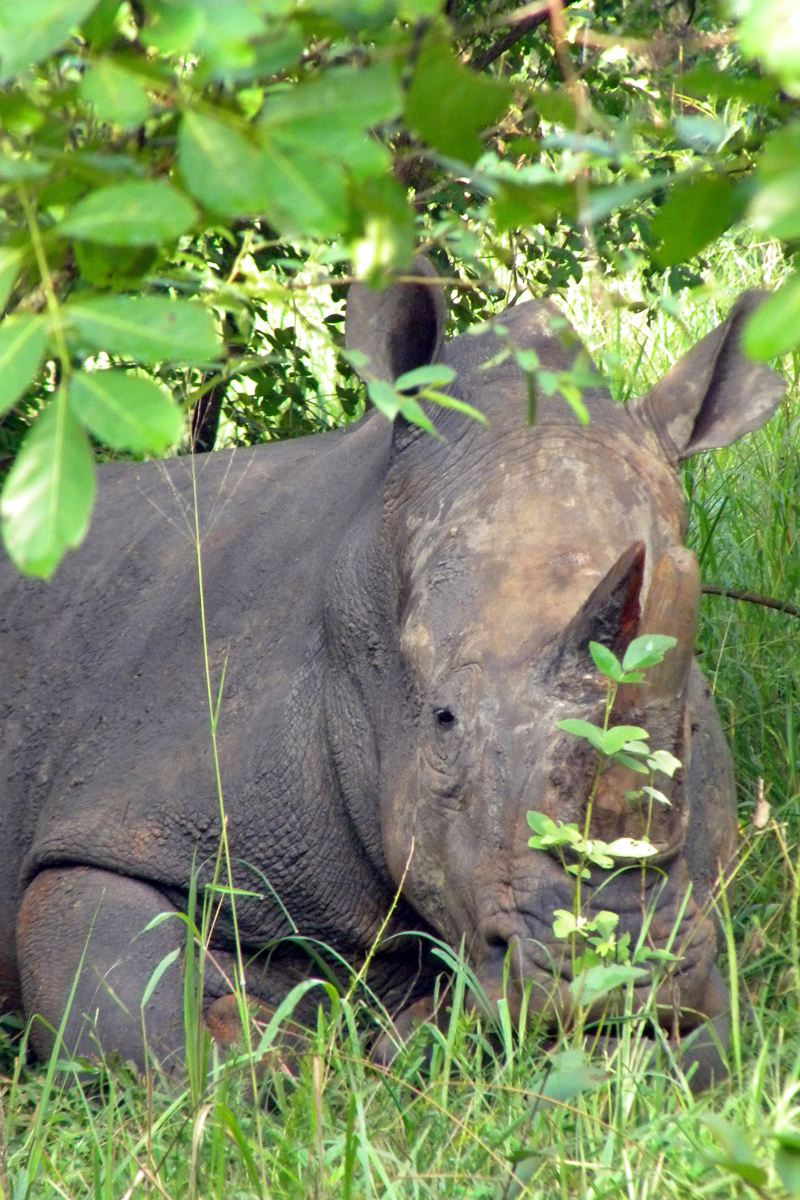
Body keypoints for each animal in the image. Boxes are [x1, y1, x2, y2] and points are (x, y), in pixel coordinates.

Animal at [0, 261, 784, 1086]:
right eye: (443, 721)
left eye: (689, 726)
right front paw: (279, 1059)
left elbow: (708, 1044)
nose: (618, 985)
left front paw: (420, 1037)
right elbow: (138, 1015)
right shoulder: (135, 800)